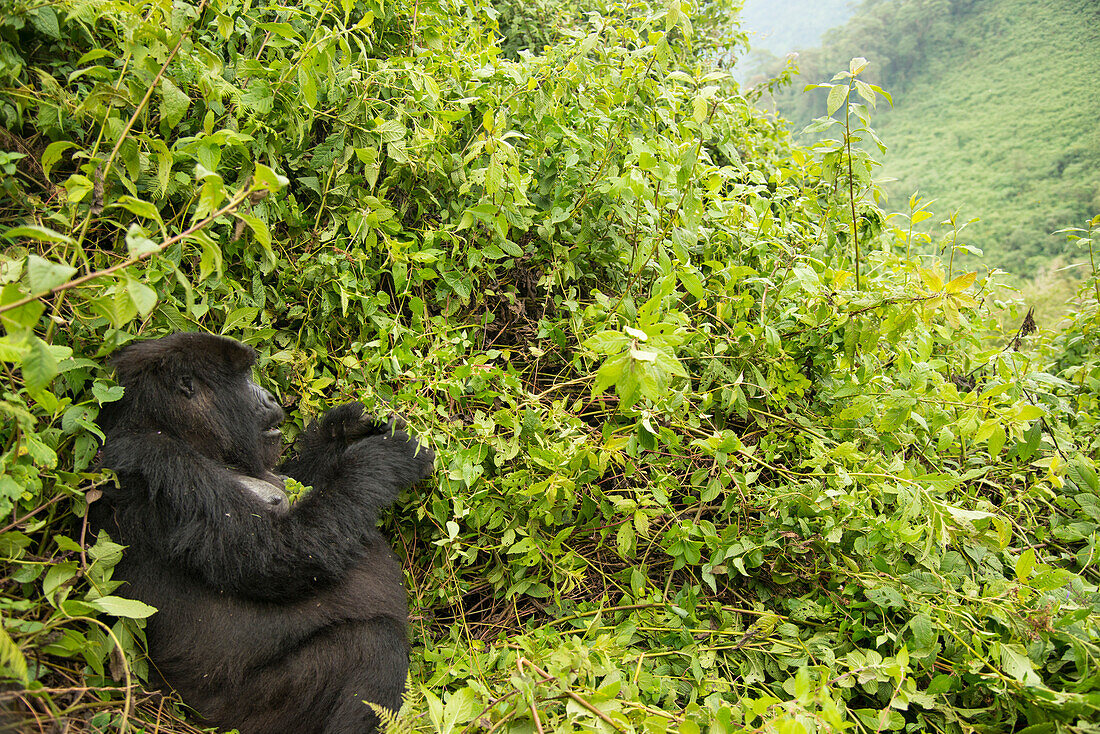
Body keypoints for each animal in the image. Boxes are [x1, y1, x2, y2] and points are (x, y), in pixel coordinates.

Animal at [90, 332, 433, 734]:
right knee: (373, 644)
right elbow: (277, 555)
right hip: (245, 715)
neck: (171, 427)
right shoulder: (161, 463)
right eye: (242, 377)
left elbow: (304, 481)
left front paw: (342, 428)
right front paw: (385, 456)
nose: (270, 396)